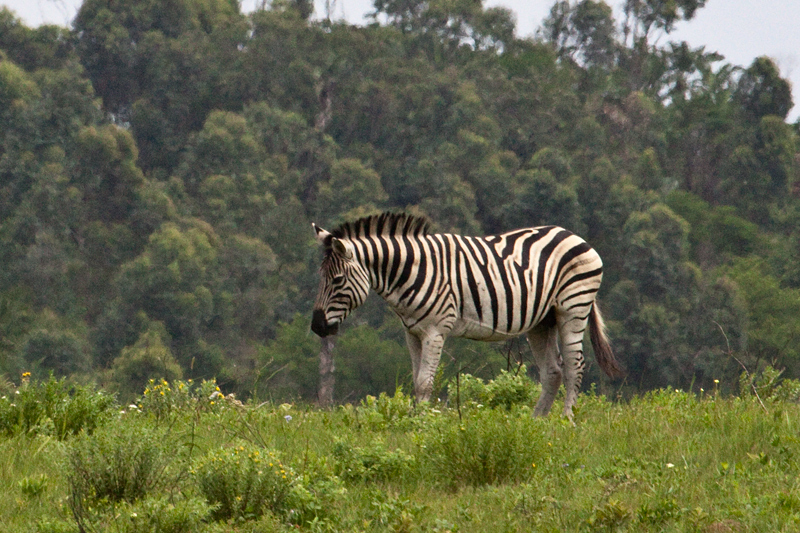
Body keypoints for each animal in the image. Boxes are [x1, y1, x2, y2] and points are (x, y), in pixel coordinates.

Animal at [310, 212, 620, 420]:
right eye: (320, 278)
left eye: (337, 280)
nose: (316, 327)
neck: (410, 271)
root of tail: (574, 235)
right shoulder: (412, 332)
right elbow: (415, 381)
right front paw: (414, 419)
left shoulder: (436, 329)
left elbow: (425, 382)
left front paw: (422, 423)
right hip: (542, 320)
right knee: (553, 371)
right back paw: (536, 422)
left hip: (572, 307)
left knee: (574, 365)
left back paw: (567, 419)